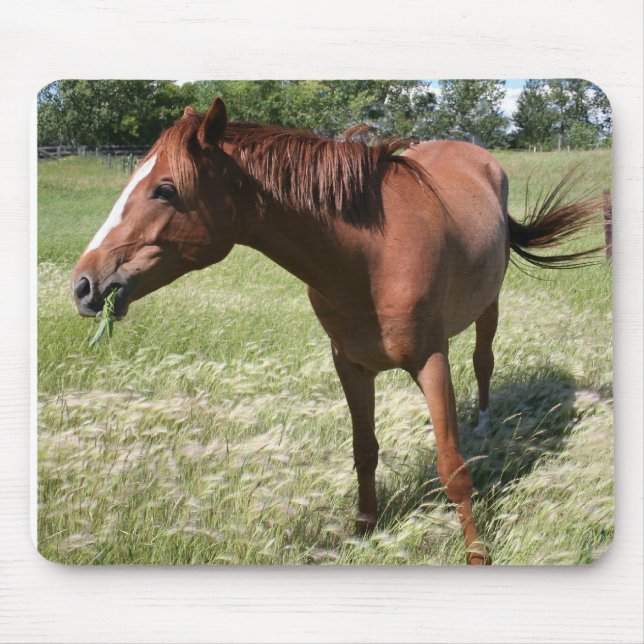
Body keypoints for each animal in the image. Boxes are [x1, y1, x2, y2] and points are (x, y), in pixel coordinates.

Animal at [71, 97, 602, 564]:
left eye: (165, 189)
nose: (83, 284)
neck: (372, 258)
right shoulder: (350, 364)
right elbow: (364, 450)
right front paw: (363, 530)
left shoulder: (432, 360)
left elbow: (452, 469)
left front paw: (476, 553)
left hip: (488, 304)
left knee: (484, 359)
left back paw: (486, 423)